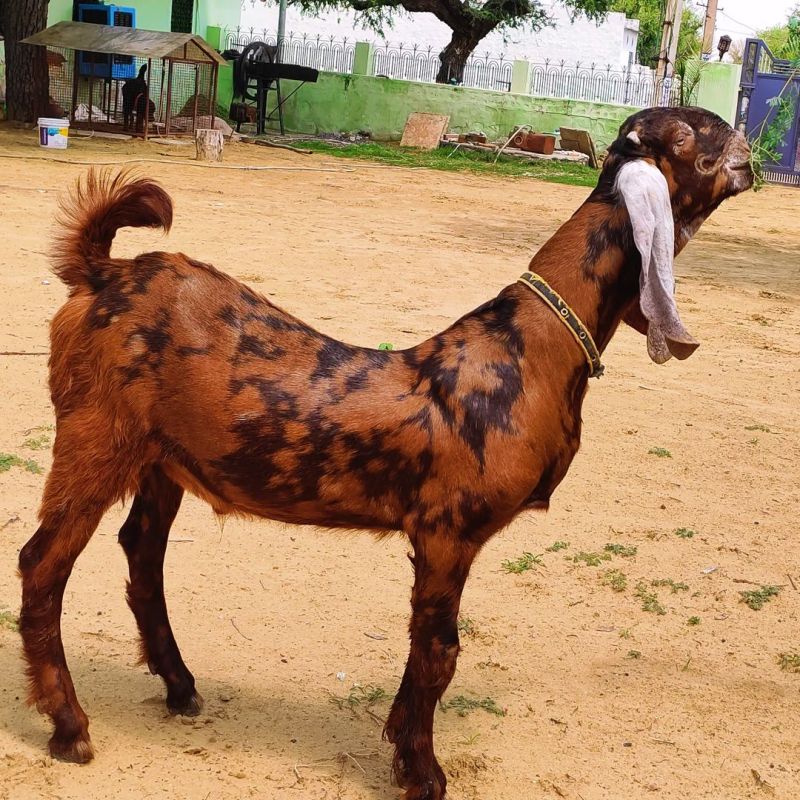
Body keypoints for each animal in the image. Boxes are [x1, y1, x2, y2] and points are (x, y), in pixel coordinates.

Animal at [18, 108, 752, 800]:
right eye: (690, 137)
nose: (751, 155)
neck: (530, 349)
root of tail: (99, 271)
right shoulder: (448, 529)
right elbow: (439, 652)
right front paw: (421, 772)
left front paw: (403, 746)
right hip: (95, 434)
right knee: (43, 564)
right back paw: (70, 726)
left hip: (161, 459)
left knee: (141, 549)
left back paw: (179, 685)